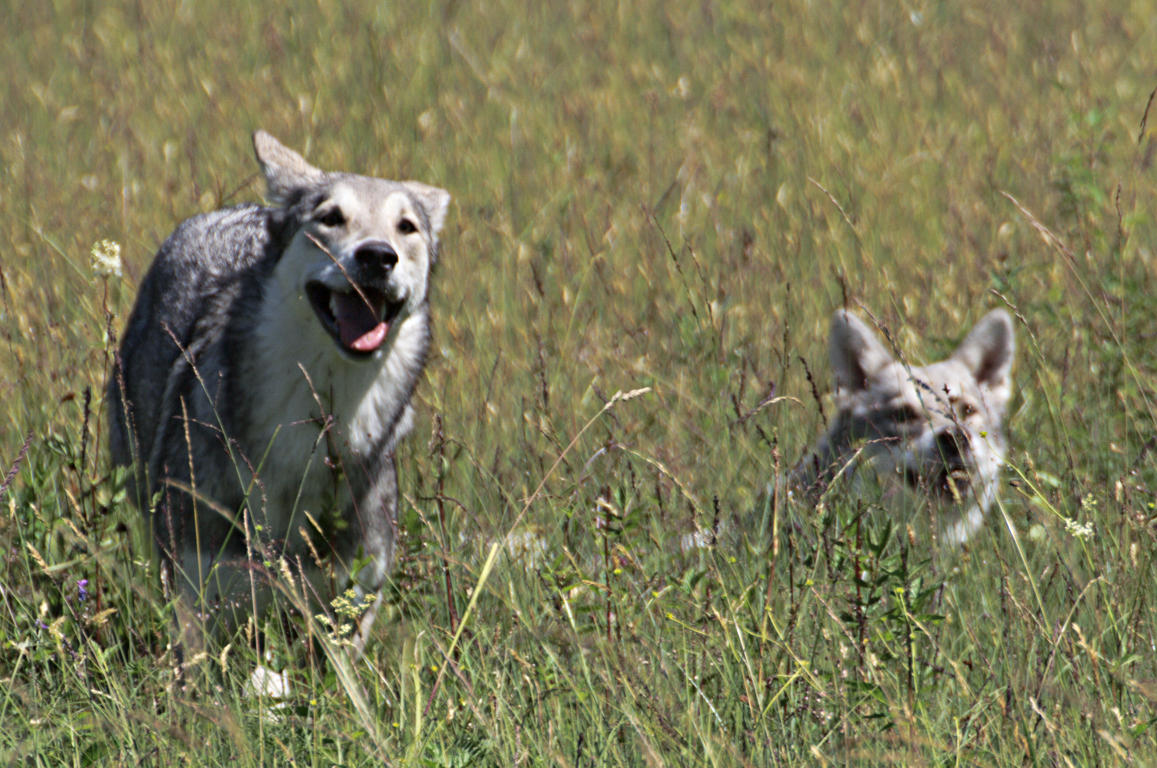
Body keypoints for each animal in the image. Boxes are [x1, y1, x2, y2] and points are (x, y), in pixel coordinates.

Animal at [107, 131, 450, 654]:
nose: (377, 255)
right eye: (331, 217)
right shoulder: (196, 596)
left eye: (406, 227)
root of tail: (237, 209)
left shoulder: (350, 609)